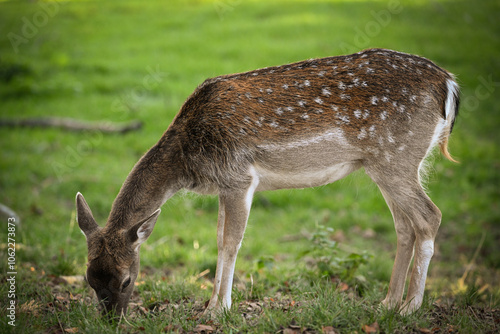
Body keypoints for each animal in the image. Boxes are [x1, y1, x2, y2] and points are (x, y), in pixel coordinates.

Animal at [75, 49, 460, 318]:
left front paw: (219, 309)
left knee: (430, 216)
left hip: (396, 157)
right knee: (405, 226)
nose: (111, 319)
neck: (188, 160)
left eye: (127, 279)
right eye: (89, 278)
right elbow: (218, 240)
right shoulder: (225, 184)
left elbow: (231, 243)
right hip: (386, 164)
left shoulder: (240, 177)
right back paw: (387, 303)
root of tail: (449, 84)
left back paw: (410, 308)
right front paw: (211, 304)